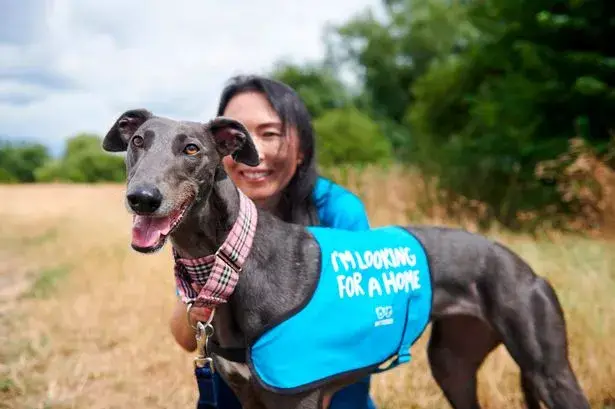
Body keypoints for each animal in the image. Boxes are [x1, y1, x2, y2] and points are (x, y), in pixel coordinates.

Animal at [103, 109, 588, 408]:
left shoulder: (297, 398)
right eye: (138, 142)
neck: (231, 265)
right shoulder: (247, 395)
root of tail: (523, 266)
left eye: (192, 149)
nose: (141, 198)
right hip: (454, 365)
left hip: (550, 371)